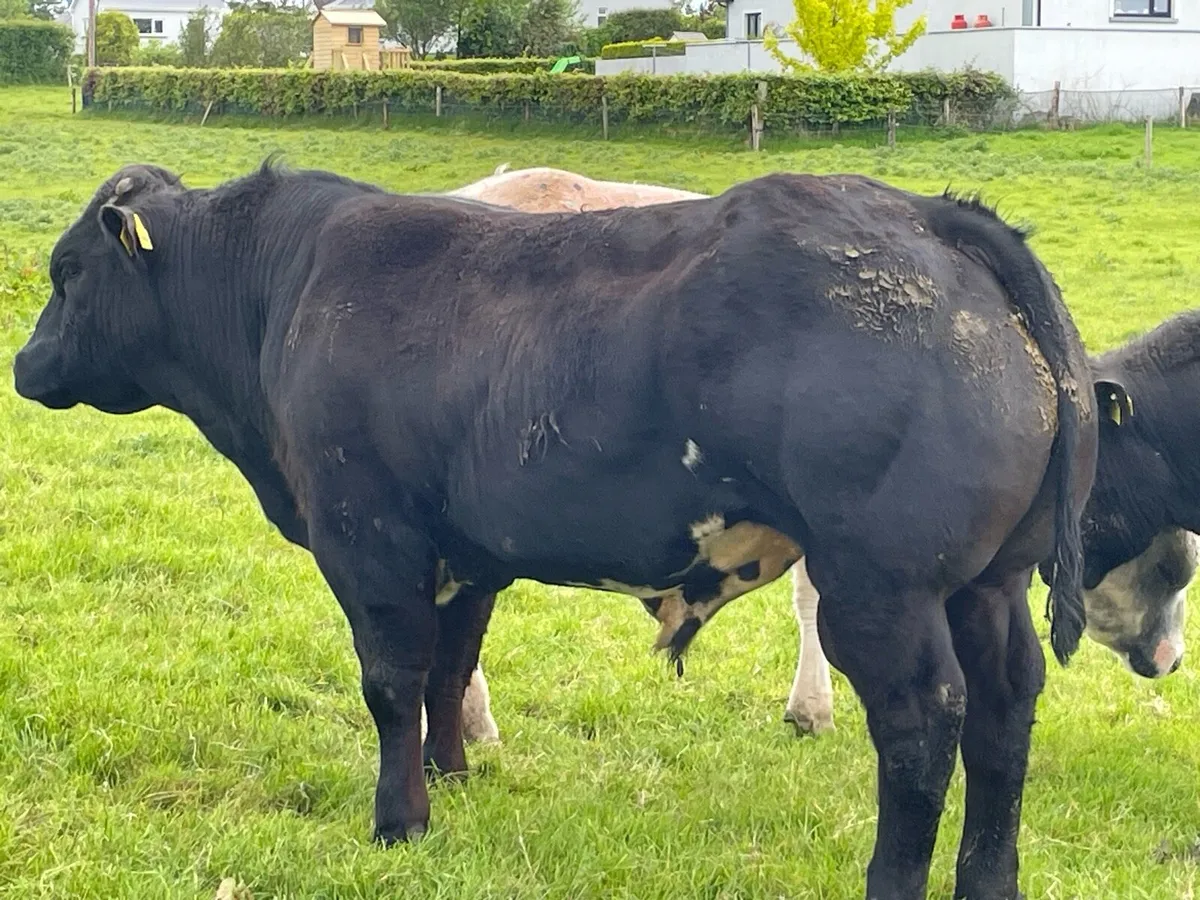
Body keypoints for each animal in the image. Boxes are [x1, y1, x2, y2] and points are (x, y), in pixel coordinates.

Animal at [17, 159, 1128, 899]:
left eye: (66, 272)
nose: (23, 365)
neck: (280, 289)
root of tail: (928, 214)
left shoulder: (367, 537)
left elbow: (390, 682)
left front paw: (399, 821)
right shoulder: (462, 555)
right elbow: (447, 670)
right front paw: (453, 779)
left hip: (881, 588)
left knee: (921, 724)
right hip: (986, 583)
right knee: (1003, 710)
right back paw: (989, 879)